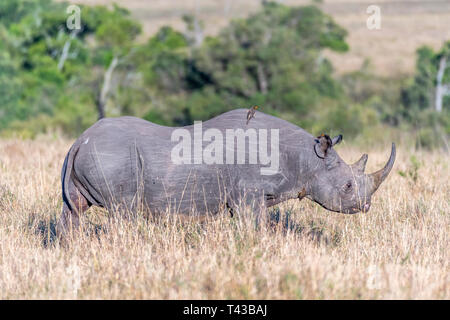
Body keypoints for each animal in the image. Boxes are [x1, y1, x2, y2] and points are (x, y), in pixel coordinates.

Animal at [58, 109, 396, 234]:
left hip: (87, 156)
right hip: (113, 155)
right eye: (348, 186)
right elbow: (256, 227)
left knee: (73, 210)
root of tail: (79, 140)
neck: (307, 159)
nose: (365, 207)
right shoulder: (248, 195)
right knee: (123, 212)